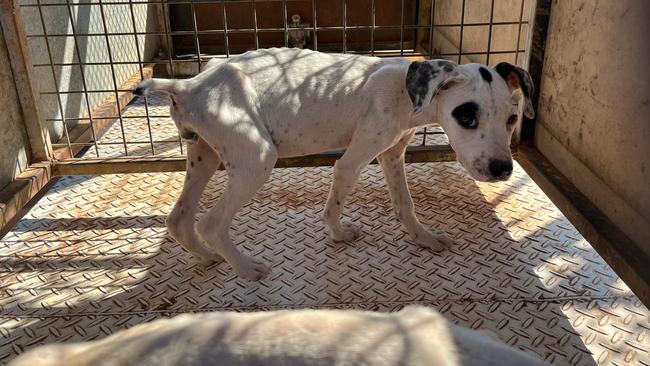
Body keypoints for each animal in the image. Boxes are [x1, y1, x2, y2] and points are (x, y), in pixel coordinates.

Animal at [133, 47, 532, 278]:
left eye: (512, 119)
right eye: (467, 117)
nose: (502, 171)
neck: (409, 91)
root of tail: (189, 85)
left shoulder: (392, 154)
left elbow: (405, 204)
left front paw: (423, 238)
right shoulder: (353, 160)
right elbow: (335, 202)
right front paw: (338, 234)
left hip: (204, 156)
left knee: (178, 219)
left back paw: (207, 257)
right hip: (256, 159)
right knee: (211, 223)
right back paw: (246, 269)